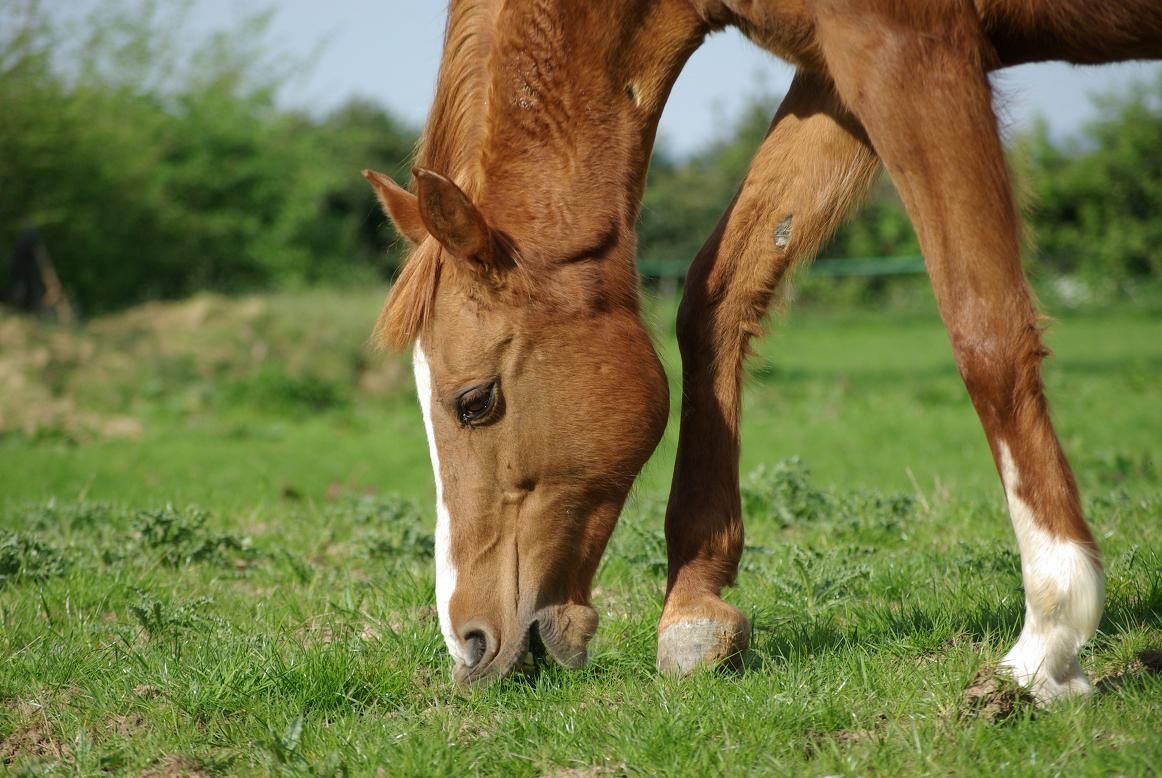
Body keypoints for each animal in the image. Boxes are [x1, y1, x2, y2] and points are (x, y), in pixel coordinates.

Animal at [362, 0, 1161, 697]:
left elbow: (983, 328)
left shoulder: (909, 51)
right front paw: (692, 610)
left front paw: (1050, 639)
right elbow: (717, 292)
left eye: (475, 401)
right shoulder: (835, 75)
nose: (468, 644)